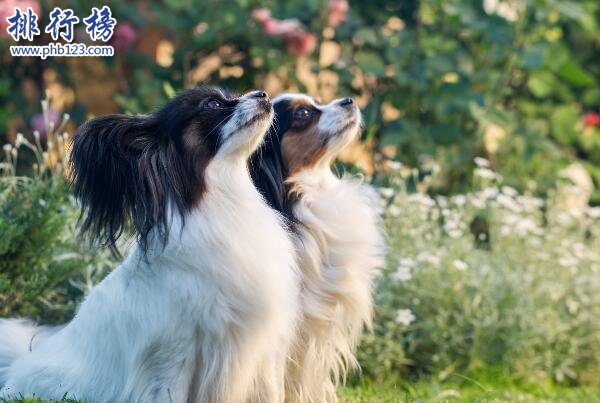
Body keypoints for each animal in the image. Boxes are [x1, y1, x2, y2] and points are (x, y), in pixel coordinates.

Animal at [0, 87, 300, 402]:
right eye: (213, 104)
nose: (263, 93)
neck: (224, 199)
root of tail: (21, 363)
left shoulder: (263, 351)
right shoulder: (172, 356)